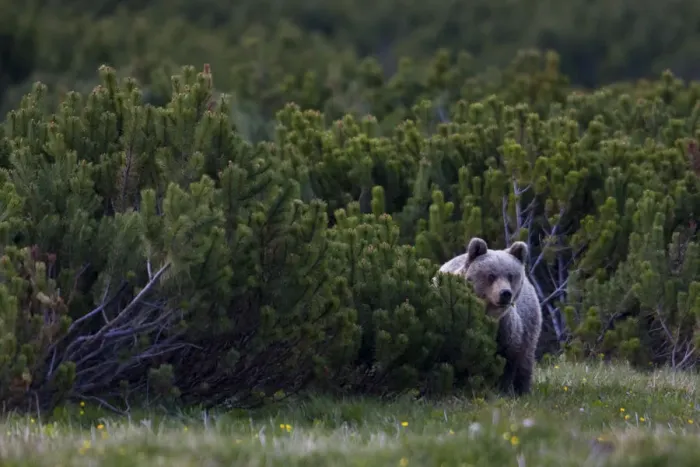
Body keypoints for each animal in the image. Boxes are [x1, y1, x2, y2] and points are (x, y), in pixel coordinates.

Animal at [435, 237, 542, 396]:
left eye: (511, 276)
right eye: (491, 275)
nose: (505, 293)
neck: (487, 315)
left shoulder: (507, 332)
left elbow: (508, 361)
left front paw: (504, 389)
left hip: (531, 323)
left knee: (526, 360)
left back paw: (523, 389)